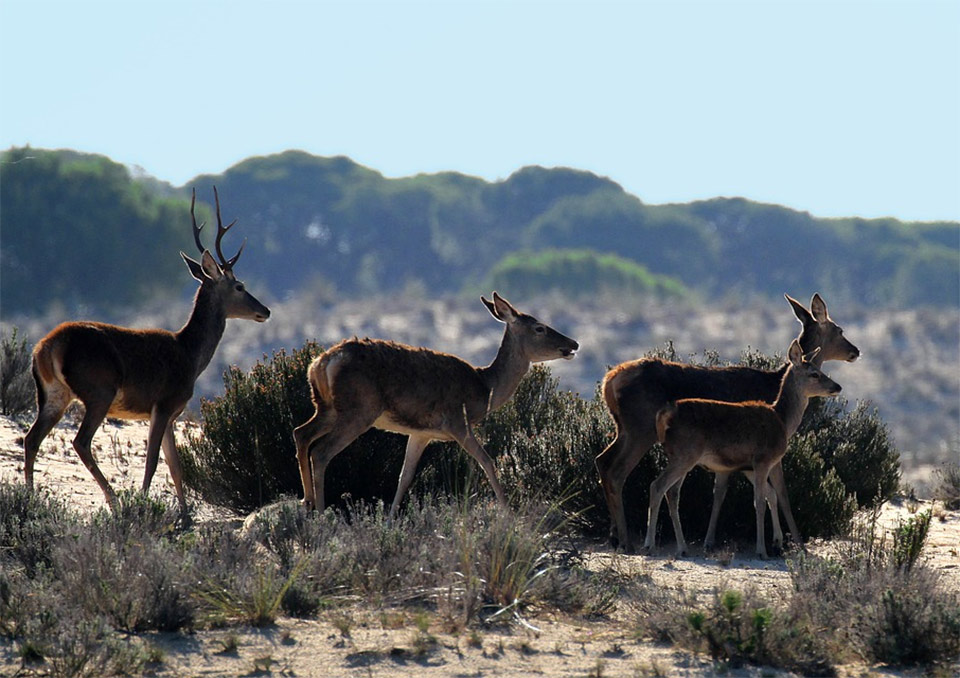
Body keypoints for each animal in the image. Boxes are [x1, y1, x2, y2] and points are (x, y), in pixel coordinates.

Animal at [22, 186, 270, 516]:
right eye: (240, 286)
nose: (265, 311)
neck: (190, 355)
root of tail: (47, 347)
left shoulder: (172, 413)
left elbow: (175, 466)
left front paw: (186, 515)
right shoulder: (164, 403)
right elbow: (153, 462)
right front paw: (145, 503)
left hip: (53, 394)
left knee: (31, 438)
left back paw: (30, 497)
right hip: (99, 389)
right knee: (80, 441)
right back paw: (115, 501)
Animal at [292, 292, 576, 516]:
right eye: (539, 328)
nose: (573, 343)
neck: (484, 389)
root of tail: (321, 362)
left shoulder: (421, 433)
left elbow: (404, 476)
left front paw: (390, 520)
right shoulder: (457, 422)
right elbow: (487, 462)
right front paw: (509, 515)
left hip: (327, 407)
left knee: (301, 433)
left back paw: (306, 502)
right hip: (358, 410)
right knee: (321, 451)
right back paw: (320, 512)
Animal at [644, 340, 840, 556]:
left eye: (820, 370)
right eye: (814, 374)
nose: (837, 386)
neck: (782, 420)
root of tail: (664, 414)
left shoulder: (758, 465)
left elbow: (778, 496)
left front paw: (787, 544)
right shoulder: (763, 459)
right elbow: (761, 501)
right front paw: (762, 550)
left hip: (682, 457)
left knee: (672, 492)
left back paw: (682, 548)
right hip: (684, 454)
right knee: (657, 486)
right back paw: (649, 545)